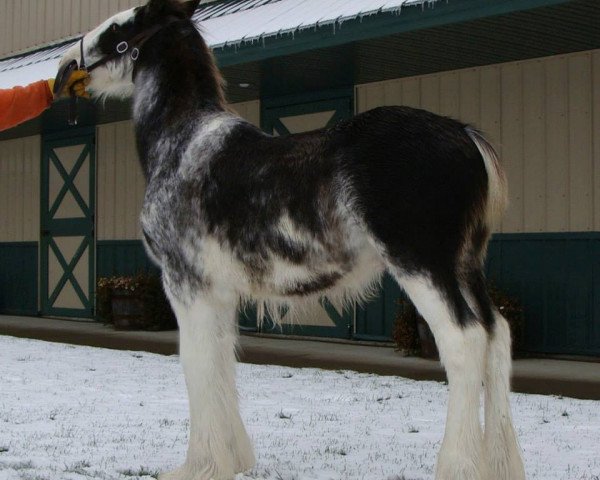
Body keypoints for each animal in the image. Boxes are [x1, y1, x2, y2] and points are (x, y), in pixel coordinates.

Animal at [56, 1, 524, 478]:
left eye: (118, 29)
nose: (65, 68)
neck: (181, 143)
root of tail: (465, 136)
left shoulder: (186, 283)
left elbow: (196, 363)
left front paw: (200, 465)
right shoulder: (219, 293)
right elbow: (222, 360)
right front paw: (235, 459)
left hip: (422, 264)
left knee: (465, 341)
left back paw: (458, 464)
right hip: (466, 265)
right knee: (497, 335)